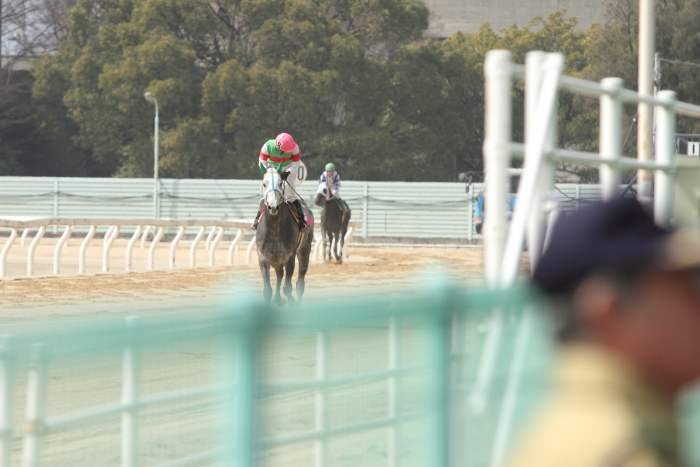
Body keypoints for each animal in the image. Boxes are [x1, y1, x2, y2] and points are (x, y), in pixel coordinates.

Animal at [256, 168, 314, 308]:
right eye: (264, 184)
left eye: (280, 183)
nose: (273, 206)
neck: (274, 228)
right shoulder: (264, 257)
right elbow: (268, 290)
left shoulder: (289, 257)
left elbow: (288, 287)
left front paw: (292, 301)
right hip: (275, 259)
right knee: (279, 273)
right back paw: (278, 299)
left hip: (305, 249)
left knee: (300, 282)